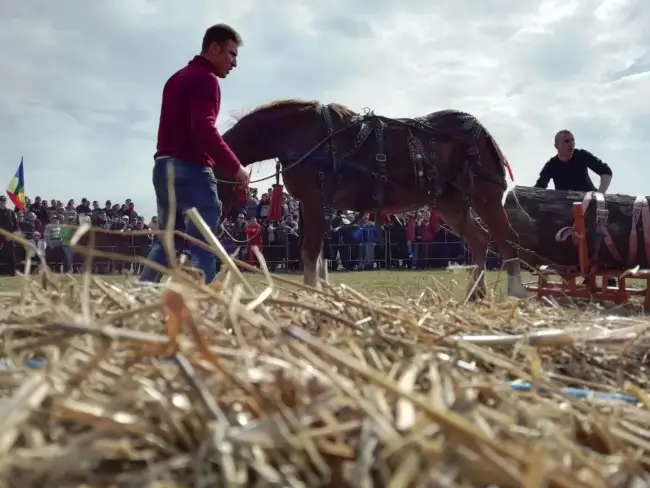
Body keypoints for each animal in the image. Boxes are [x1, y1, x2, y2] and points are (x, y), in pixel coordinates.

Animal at [220, 98, 524, 298]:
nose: (226, 218)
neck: (300, 134)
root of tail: (480, 130)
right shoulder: (313, 205)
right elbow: (318, 253)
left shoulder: (314, 200)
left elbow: (309, 251)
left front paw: (311, 293)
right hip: (448, 202)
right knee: (480, 239)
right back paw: (474, 293)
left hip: (485, 196)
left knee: (507, 239)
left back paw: (516, 292)